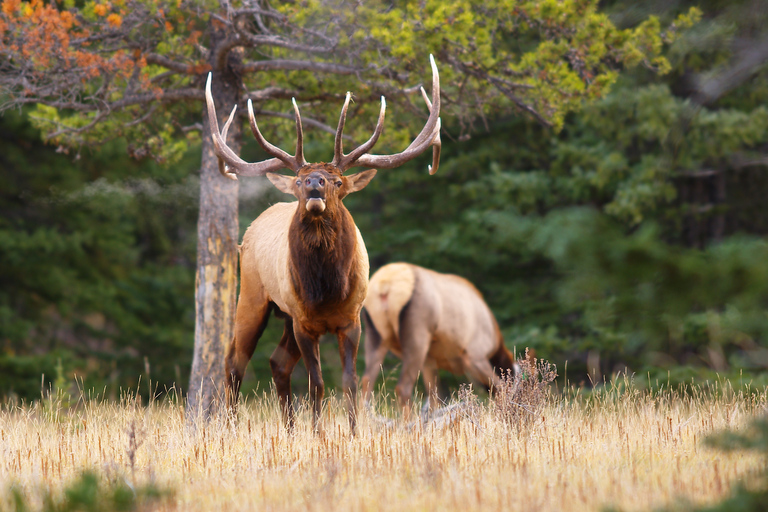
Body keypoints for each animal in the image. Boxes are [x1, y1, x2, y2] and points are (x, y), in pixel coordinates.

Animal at [204, 57, 440, 432]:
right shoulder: (304, 323)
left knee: (277, 362)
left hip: (284, 314)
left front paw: (353, 432)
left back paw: (288, 429)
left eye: (337, 180)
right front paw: (317, 434)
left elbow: (350, 382)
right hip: (253, 297)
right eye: (299, 181)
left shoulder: (352, 320)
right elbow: (317, 383)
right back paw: (230, 427)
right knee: (234, 360)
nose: (315, 183)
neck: (327, 290)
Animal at [360, 262, 516, 406]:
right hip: (418, 335)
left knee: (366, 381)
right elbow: (500, 386)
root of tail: (385, 285)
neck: (495, 342)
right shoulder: (474, 355)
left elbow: (434, 398)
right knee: (403, 387)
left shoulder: (430, 361)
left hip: (375, 335)